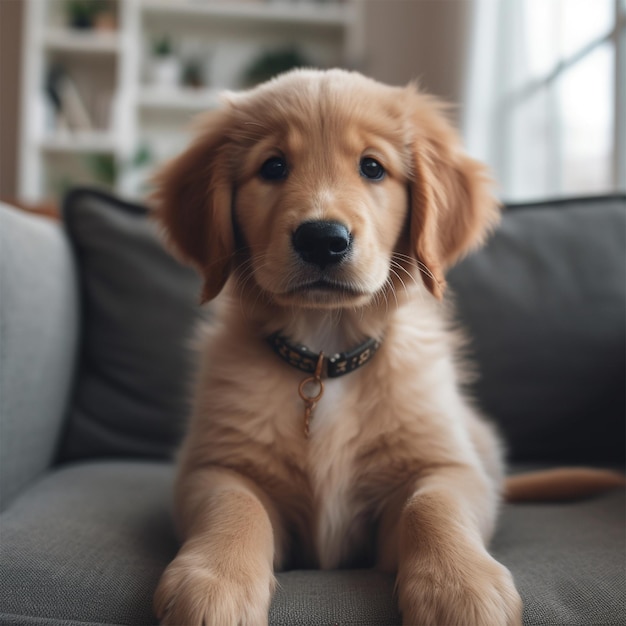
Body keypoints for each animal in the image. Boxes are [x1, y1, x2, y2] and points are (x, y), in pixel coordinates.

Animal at [154, 68, 520, 624]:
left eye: (372, 167)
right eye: (273, 166)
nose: (322, 239)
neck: (326, 357)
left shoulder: (448, 465)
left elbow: (433, 504)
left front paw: (461, 585)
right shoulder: (214, 467)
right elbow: (236, 506)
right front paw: (214, 583)